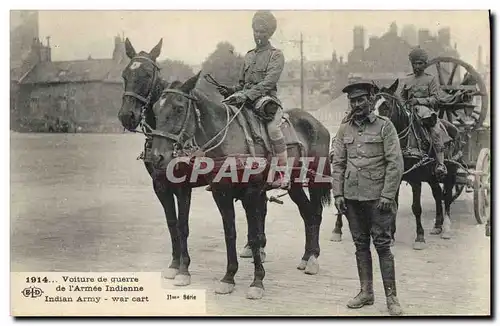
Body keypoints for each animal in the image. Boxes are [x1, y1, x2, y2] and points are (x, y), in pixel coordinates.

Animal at [116, 38, 268, 288]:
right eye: (125, 74)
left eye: (147, 74)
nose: (127, 116)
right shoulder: (160, 185)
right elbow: (172, 224)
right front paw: (174, 264)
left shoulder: (182, 186)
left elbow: (183, 225)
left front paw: (184, 269)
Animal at [148, 72, 334, 300]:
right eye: (155, 109)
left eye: (179, 108)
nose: (157, 156)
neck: (228, 139)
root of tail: (316, 122)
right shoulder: (220, 193)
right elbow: (230, 234)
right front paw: (228, 278)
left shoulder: (251, 194)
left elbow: (254, 237)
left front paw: (257, 282)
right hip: (294, 184)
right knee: (307, 214)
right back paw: (307, 256)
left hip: (315, 180)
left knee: (315, 213)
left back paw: (313, 259)